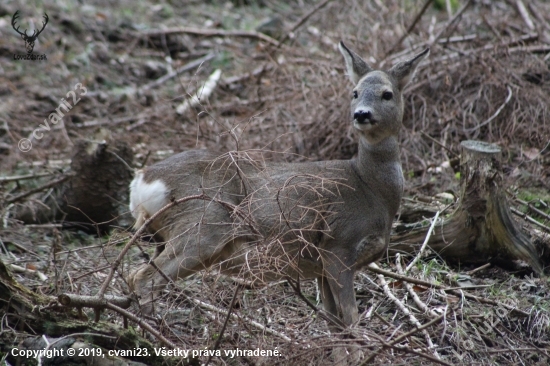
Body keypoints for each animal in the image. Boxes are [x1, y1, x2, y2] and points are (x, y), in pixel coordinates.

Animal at [127, 42, 430, 328]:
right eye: (354, 92)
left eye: (387, 94)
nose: (362, 114)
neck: (371, 189)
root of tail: (143, 180)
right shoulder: (339, 244)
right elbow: (351, 319)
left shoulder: (321, 266)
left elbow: (333, 320)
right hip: (201, 228)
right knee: (143, 278)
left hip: (168, 236)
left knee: (136, 275)